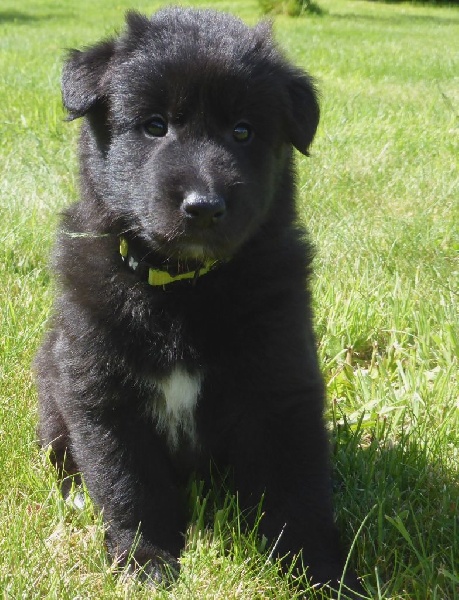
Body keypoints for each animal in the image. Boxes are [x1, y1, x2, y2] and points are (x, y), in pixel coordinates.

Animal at [35, 8, 360, 594]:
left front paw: (319, 574)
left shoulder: (281, 384)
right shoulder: (101, 390)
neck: (184, 287)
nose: (204, 206)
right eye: (154, 125)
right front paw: (146, 562)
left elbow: (296, 489)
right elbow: (128, 484)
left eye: (243, 131)